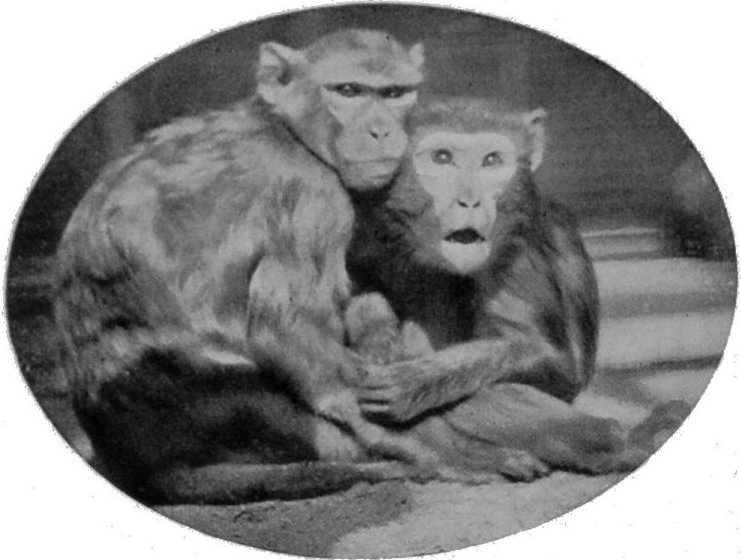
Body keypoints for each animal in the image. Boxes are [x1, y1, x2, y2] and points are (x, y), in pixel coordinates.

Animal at [53, 29, 437, 504]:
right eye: (349, 91)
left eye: (395, 93)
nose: (381, 130)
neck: (286, 129)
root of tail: (140, 464)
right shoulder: (311, 193)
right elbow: (285, 327)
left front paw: (382, 340)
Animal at [346, 97, 691, 480]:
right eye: (442, 158)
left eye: (492, 160)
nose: (470, 200)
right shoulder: (372, 223)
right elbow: (358, 284)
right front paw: (377, 337)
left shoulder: (517, 251)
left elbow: (551, 358)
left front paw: (415, 380)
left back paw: (615, 439)